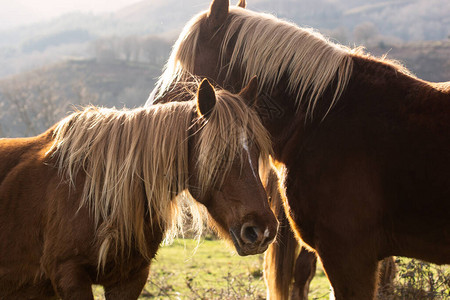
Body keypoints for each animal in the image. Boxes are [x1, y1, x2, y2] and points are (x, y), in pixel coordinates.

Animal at [0, 78, 278, 300]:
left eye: (256, 150)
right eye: (220, 154)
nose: (261, 230)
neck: (98, 193)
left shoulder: (130, 278)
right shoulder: (69, 274)